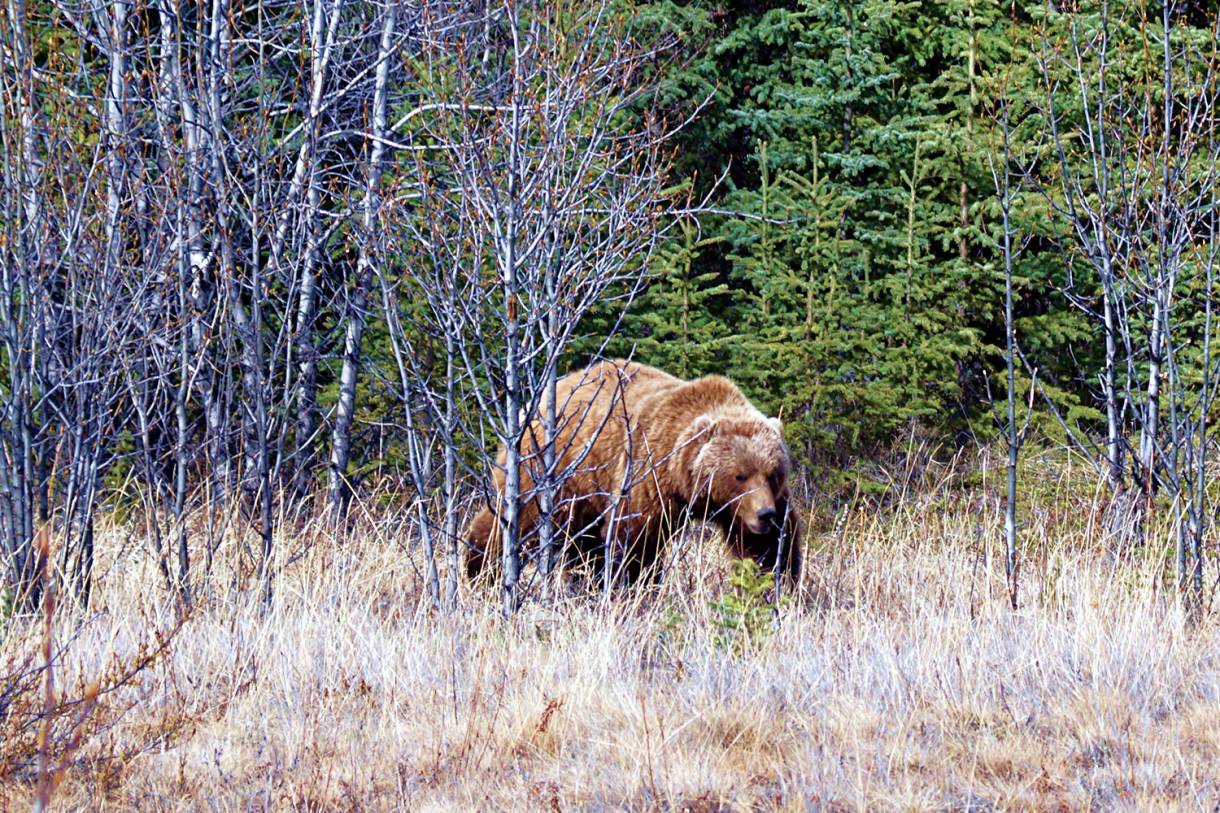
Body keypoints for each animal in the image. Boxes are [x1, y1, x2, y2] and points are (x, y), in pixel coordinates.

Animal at [465, 359, 802, 588]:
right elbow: (635, 539)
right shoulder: (647, 473)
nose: (765, 514)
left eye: (772, 473)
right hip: (550, 471)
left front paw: (773, 584)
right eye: (739, 475)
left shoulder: (743, 508)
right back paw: (479, 568)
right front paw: (634, 585)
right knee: (514, 519)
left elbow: (768, 548)